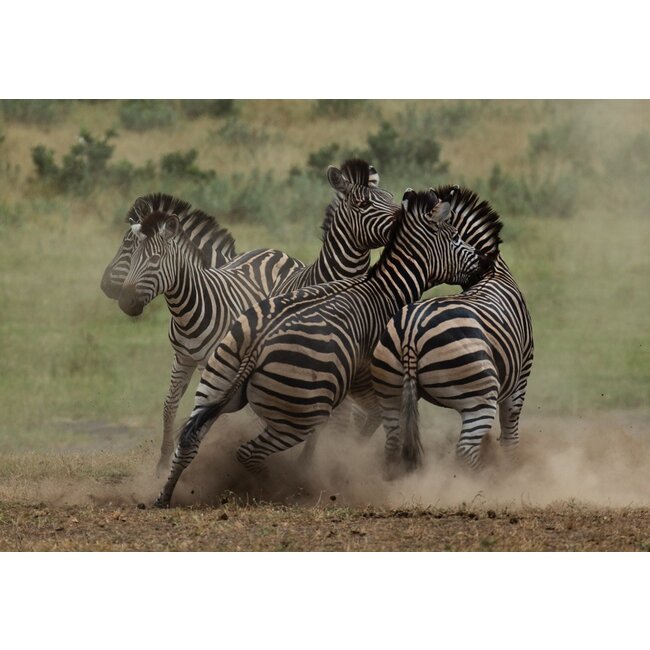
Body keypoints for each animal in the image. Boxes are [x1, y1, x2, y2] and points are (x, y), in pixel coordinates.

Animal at [117, 160, 398, 474]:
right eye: (363, 203)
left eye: (390, 196)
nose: (125, 301)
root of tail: (271, 250)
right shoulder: (187, 358)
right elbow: (173, 406)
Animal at [153, 189, 493, 507]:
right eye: (456, 237)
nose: (485, 264)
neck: (383, 290)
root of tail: (257, 346)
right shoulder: (366, 378)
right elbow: (362, 423)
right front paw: (343, 459)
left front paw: (323, 460)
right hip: (297, 416)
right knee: (248, 453)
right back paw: (286, 486)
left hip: (215, 381)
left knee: (189, 442)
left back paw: (164, 495)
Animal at [370, 185, 534, 474]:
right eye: (456, 237)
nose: (486, 263)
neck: (497, 274)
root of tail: (411, 334)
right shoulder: (521, 375)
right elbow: (510, 433)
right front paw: (510, 469)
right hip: (479, 398)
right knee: (465, 453)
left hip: (390, 393)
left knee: (392, 447)